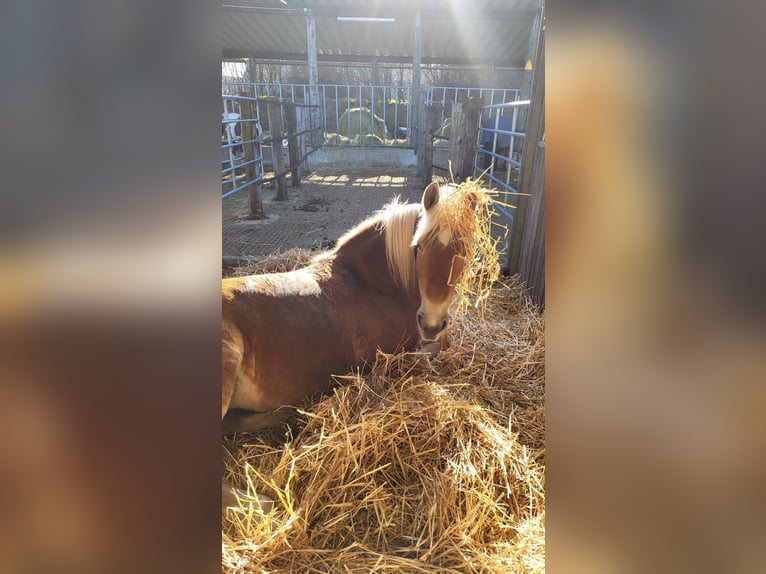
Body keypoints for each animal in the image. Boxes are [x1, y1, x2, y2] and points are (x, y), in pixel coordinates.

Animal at [222, 181, 476, 509]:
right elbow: (433, 351)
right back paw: (262, 502)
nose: (431, 322)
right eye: (418, 247)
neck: (371, 284)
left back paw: (288, 418)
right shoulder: (392, 360)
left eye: (465, 250)